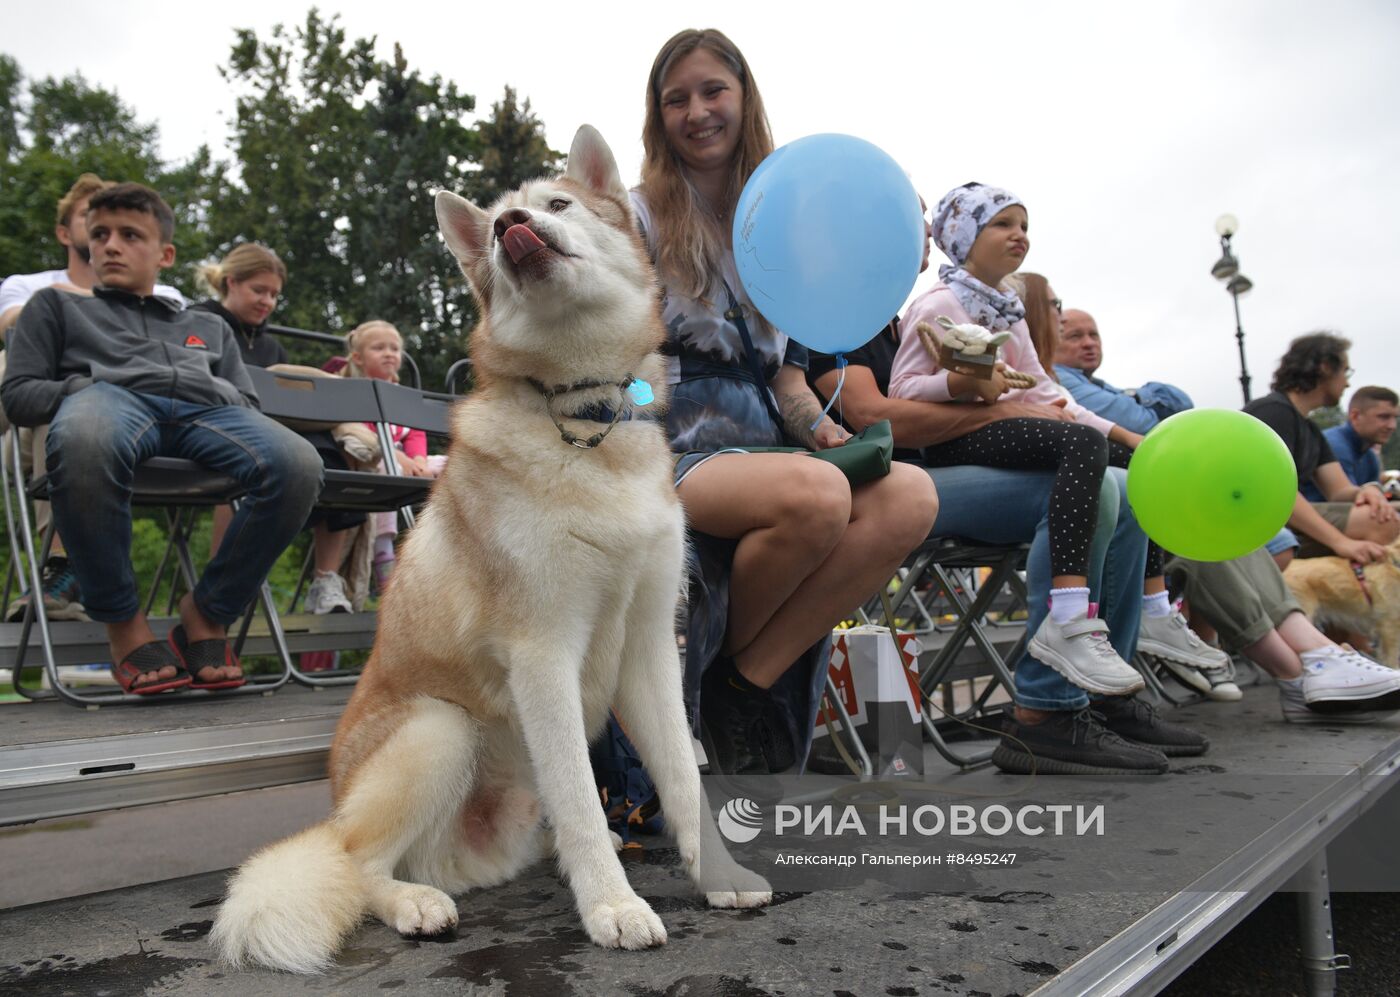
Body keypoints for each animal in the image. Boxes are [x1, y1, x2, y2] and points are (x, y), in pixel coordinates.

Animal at [212, 124, 772, 974]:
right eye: (504, 218)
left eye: (557, 204)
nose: (510, 226)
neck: (584, 421)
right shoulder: (542, 652)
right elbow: (581, 794)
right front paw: (613, 906)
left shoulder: (649, 647)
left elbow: (681, 777)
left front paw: (720, 874)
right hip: (440, 730)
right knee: (356, 862)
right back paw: (413, 901)